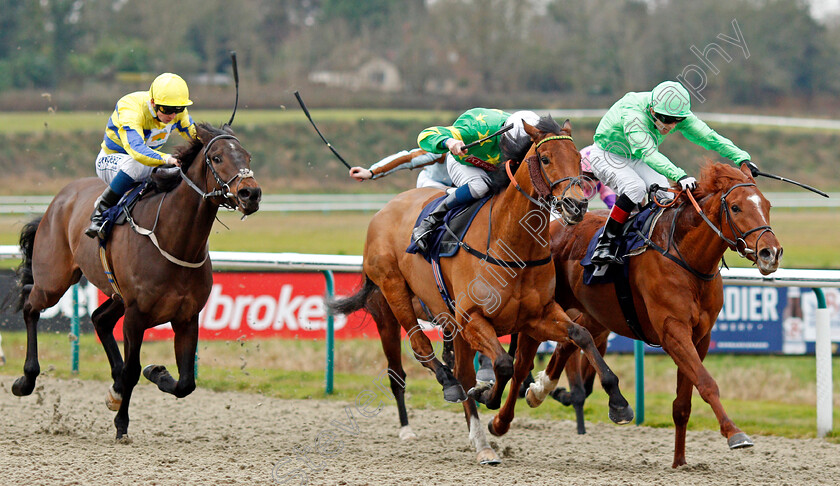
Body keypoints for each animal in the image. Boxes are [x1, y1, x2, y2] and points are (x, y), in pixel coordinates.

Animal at [9, 122, 260, 440]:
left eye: (247, 156)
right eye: (216, 158)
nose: (251, 193)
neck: (175, 241)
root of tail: (60, 198)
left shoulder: (186, 316)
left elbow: (185, 382)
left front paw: (155, 373)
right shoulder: (136, 315)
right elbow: (132, 370)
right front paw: (121, 423)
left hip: (116, 296)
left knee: (99, 318)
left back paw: (114, 386)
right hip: (55, 280)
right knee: (31, 305)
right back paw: (25, 380)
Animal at [328, 117, 632, 464]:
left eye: (578, 159)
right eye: (545, 159)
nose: (577, 205)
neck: (511, 243)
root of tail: (383, 211)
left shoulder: (538, 316)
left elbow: (580, 337)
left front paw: (618, 402)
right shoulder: (472, 318)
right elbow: (503, 365)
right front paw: (489, 396)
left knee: (460, 370)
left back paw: (480, 439)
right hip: (391, 298)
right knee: (417, 354)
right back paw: (437, 406)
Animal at [488, 162, 784, 468]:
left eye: (767, 205)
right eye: (736, 208)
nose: (770, 253)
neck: (686, 256)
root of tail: (552, 228)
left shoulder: (700, 337)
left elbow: (683, 403)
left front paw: (679, 462)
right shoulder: (673, 332)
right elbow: (706, 383)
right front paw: (734, 433)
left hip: (595, 316)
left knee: (567, 344)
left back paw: (541, 390)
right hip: (541, 311)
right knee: (523, 362)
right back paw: (501, 421)